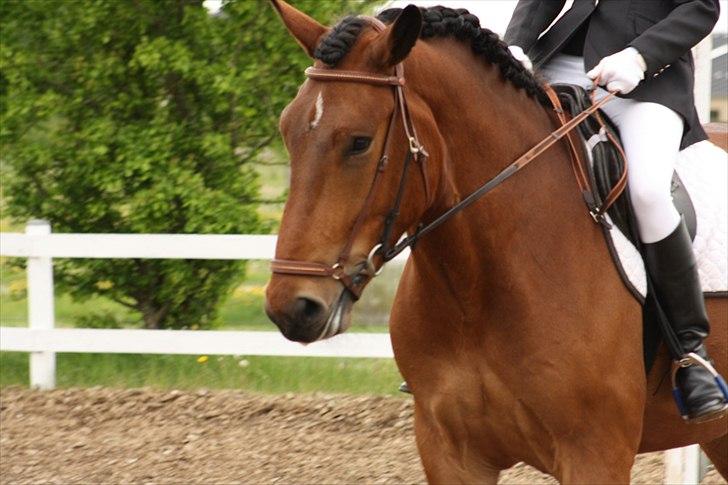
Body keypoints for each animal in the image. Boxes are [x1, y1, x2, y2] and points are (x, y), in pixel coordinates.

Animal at [264, 1, 728, 482]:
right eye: (287, 131)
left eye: (360, 142)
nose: (292, 308)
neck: (478, 288)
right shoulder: (449, 452)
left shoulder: (595, 452)